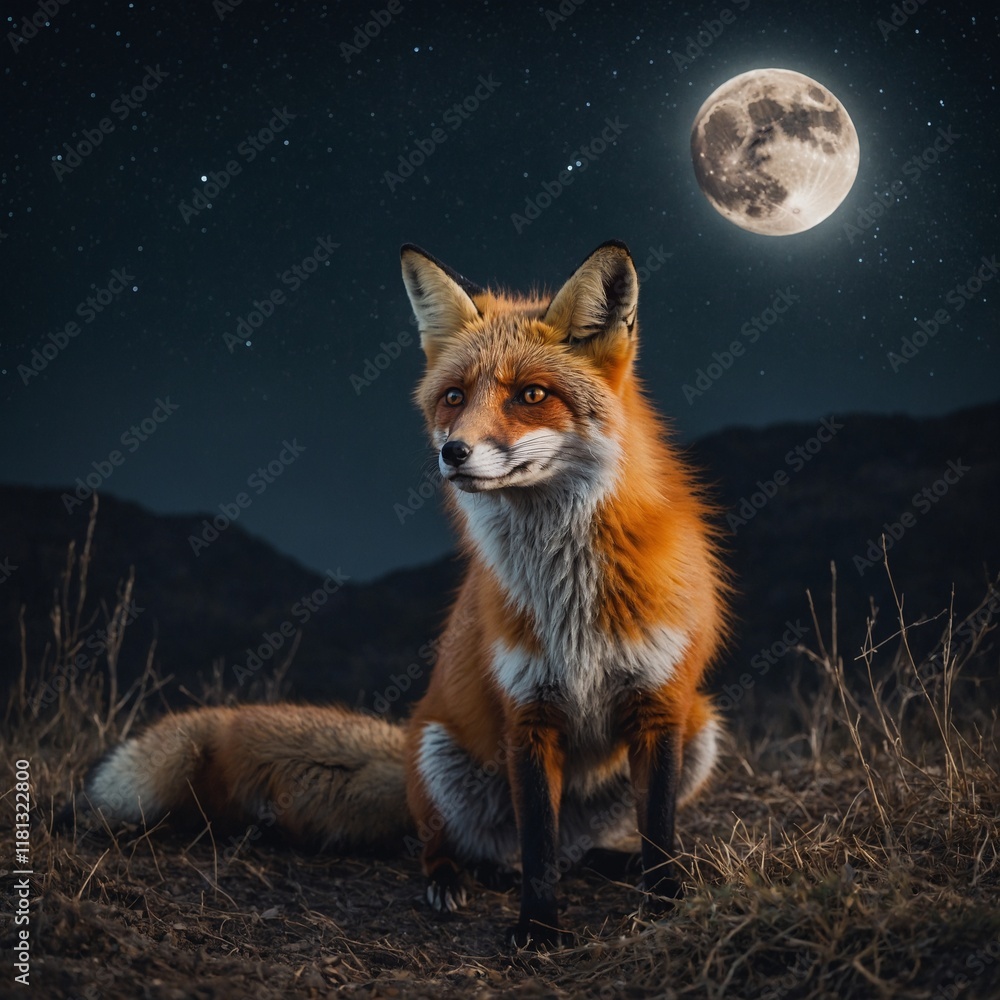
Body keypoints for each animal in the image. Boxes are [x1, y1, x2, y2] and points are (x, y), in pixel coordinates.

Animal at [69, 240, 729, 948]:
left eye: (532, 394)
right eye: (453, 397)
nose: (454, 452)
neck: (570, 596)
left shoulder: (659, 705)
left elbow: (656, 831)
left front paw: (663, 903)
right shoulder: (528, 711)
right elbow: (539, 846)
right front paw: (537, 930)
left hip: (701, 727)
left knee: (576, 848)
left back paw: (610, 862)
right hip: (441, 758)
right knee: (460, 846)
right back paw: (456, 878)